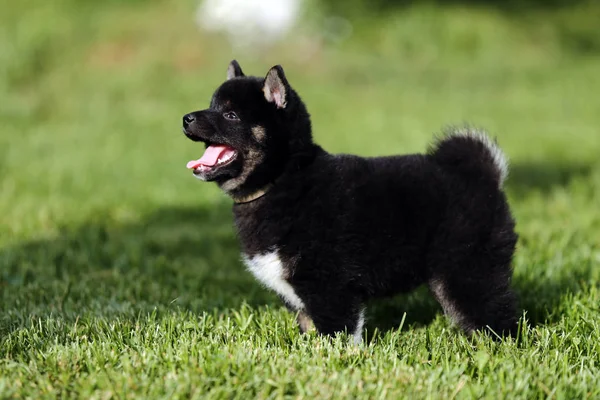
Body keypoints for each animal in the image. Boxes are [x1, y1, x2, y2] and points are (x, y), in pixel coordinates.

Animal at [180, 61, 516, 342]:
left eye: (230, 115)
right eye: (211, 106)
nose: (186, 117)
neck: (284, 181)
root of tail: (482, 175)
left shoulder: (329, 284)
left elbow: (337, 332)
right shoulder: (303, 294)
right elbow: (310, 328)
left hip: (467, 269)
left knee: (495, 316)